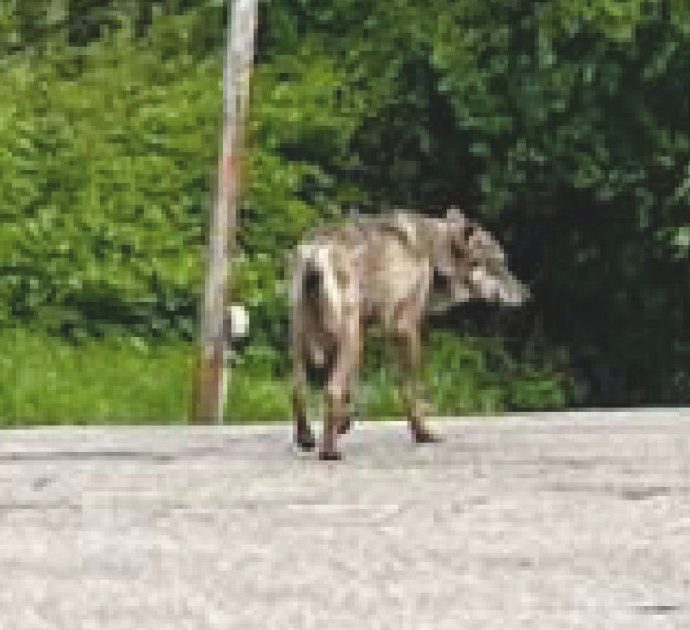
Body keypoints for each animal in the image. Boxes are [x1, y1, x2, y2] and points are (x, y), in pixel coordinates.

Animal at [290, 207, 530, 460]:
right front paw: (423, 434)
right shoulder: (405, 329)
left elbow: (352, 389)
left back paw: (306, 439)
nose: (527, 294)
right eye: (499, 263)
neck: (433, 252)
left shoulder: (365, 333)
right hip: (348, 340)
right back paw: (329, 451)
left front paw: (344, 423)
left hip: (311, 343)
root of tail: (315, 252)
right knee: (331, 390)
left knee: (297, 388)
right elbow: (409, 390)